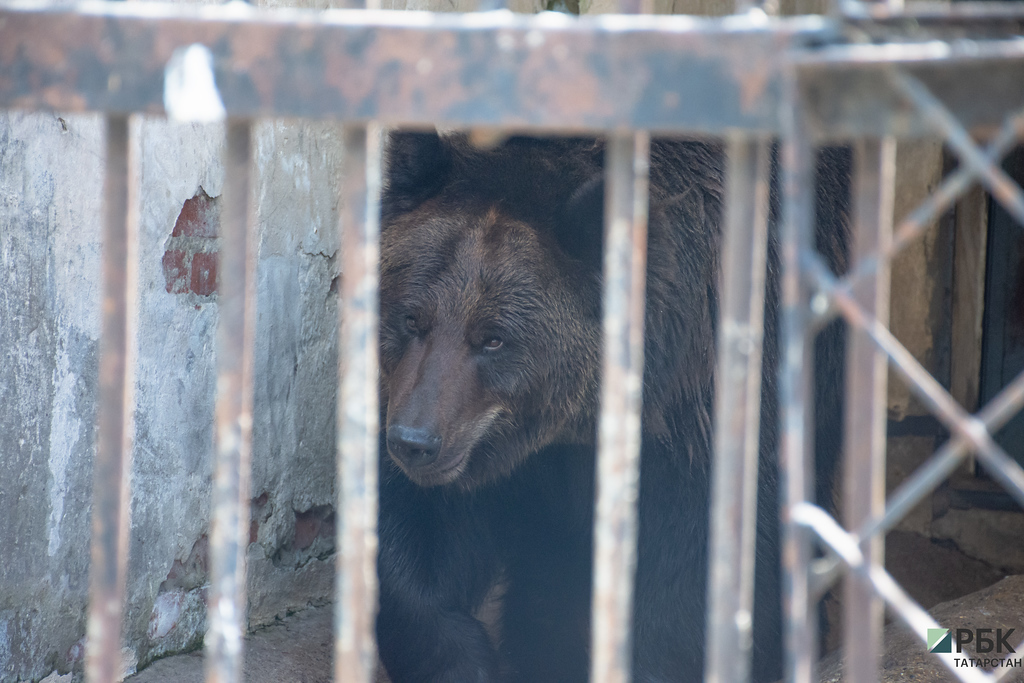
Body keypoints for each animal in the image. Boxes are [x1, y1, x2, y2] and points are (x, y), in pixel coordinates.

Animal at [376, 131, 847, 679]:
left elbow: (695, 578)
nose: (414, 442)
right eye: (411, 317)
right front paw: (466, 658)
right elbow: (413, 538)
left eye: (493, 337)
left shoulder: (699, 417)